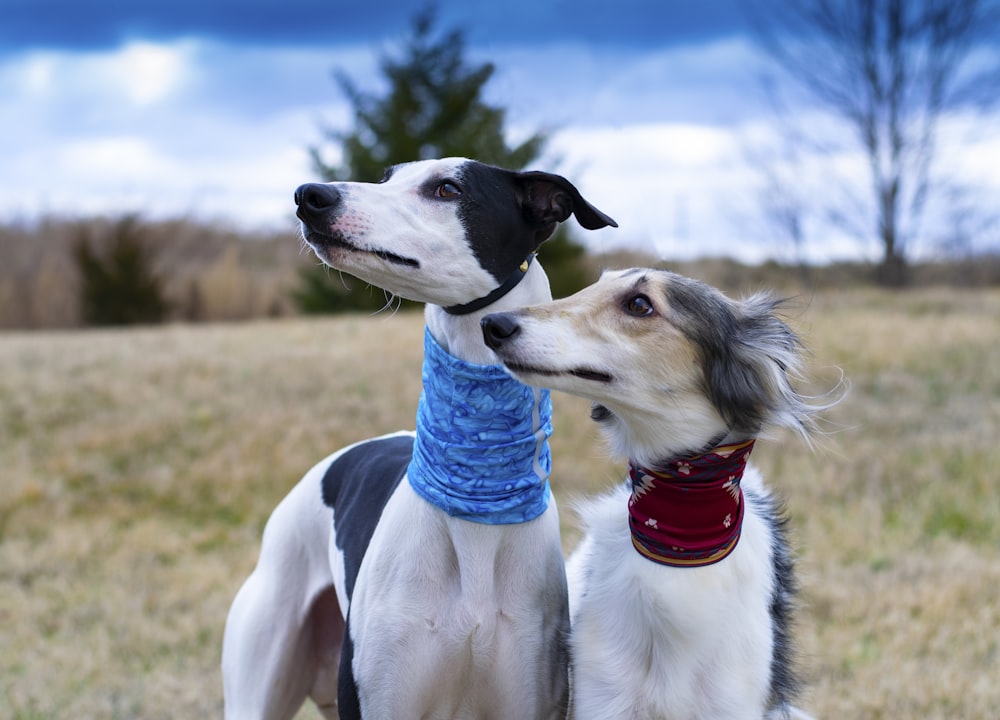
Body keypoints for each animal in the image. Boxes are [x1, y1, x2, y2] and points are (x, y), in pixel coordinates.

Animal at [480, 268, 824, 720]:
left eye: (640, 304)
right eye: (595, 284)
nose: (493, 324)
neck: (677, 552)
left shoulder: (731, 700)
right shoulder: (605, 695)